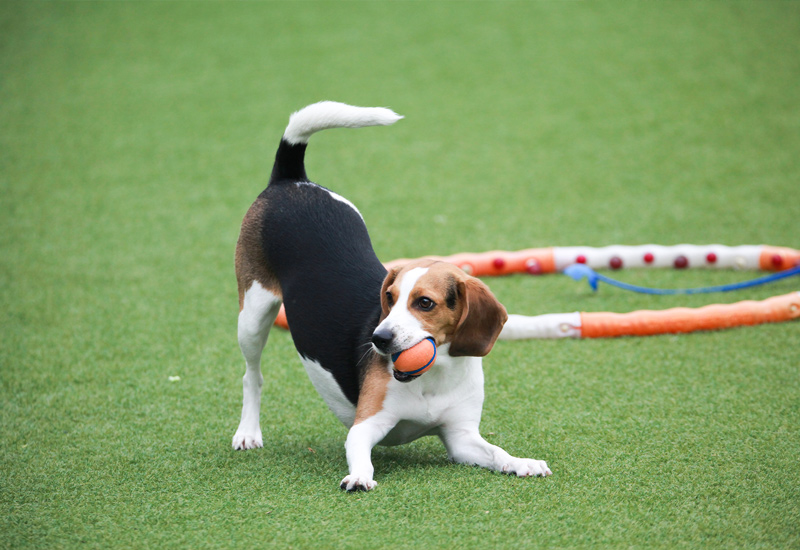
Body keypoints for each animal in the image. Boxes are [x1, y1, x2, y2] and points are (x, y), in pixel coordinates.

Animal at [233, 102, 552, 492]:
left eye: (425, 302)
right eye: (389, 296)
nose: (379, 339)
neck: (434, 375)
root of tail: (291, 180)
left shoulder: (461, 438)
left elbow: (497, 453)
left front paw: (523, 462)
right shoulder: (364, 426)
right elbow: (361, 456)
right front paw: (358, 476)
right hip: (253, 314)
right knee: (252, 376)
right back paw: (248, 432)